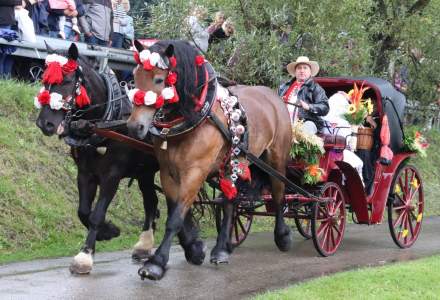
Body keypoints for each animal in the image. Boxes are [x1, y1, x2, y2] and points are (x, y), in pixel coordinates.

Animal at [36, 42, 160, 274]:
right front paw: (108, 231)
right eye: (45, 81)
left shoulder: (111, 176)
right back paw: (144, 246)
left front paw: (84, 256)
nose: (44, 123)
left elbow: (96, 214)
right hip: (145, 172)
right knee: (151, 202)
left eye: (67, 81)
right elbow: (83, 211)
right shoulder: (85, 173)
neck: (103, 123)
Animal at [127, 39, 292, 282]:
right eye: (135, 75)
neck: (195, 119)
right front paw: (194, 249)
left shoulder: (195, 172)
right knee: (230, 201)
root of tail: (273, 97)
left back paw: (282, 236)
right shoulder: (168, 173)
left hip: (276, 159)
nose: (134, 126)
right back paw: (222, 249)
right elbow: (178, 212)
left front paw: (156, 263)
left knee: (279, 194)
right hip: (232, 163)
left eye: (158, 79)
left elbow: (175, 219)